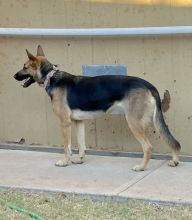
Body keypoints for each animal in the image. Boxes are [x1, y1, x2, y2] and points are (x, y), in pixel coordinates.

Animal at [14, 45, 181, 172]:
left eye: (24, 67)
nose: (13, 76)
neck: (51, 76)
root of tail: (149, 85)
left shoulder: (65, 123)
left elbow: (67, 147)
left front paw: (65, 162)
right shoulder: (78, 122)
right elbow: (81, 144)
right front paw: (80, 160)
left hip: (134, 122)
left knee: (148, 147)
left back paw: (141, 167)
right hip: (154, 121)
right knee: (170, 139)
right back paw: (174, 161)